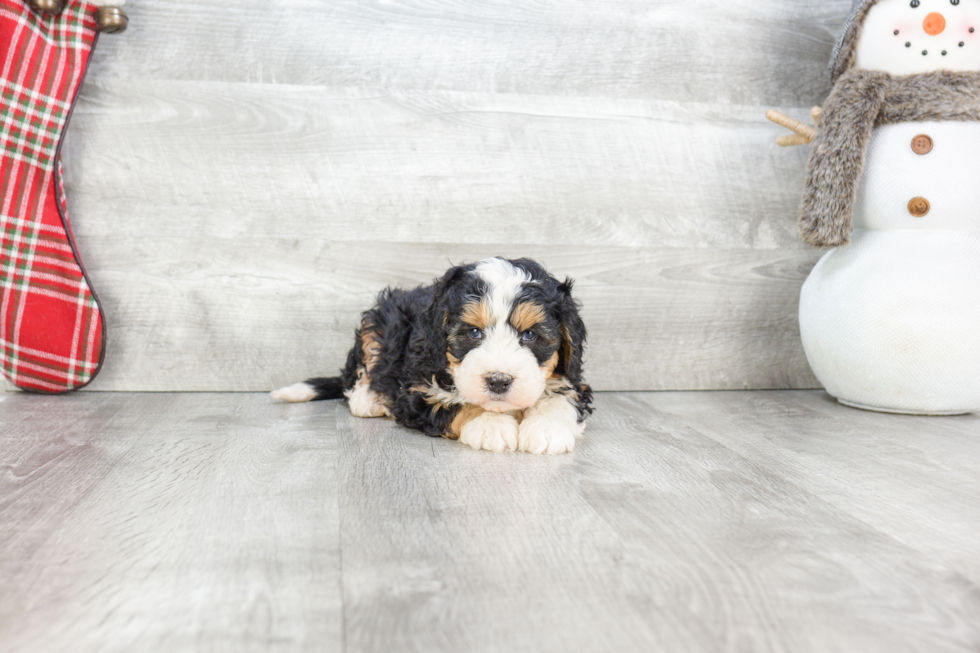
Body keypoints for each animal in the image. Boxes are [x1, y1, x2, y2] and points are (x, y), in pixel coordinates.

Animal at [272, 256, 592, 454]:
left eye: (530, 335)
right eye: (473, 333)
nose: (498, 381)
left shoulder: (575, 380)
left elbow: (562, 397)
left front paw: (547, 429)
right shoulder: (417, 390)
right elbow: (458, 404)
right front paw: (490, 425)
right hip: (379, 320)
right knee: (364, 365)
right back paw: (368, 399)